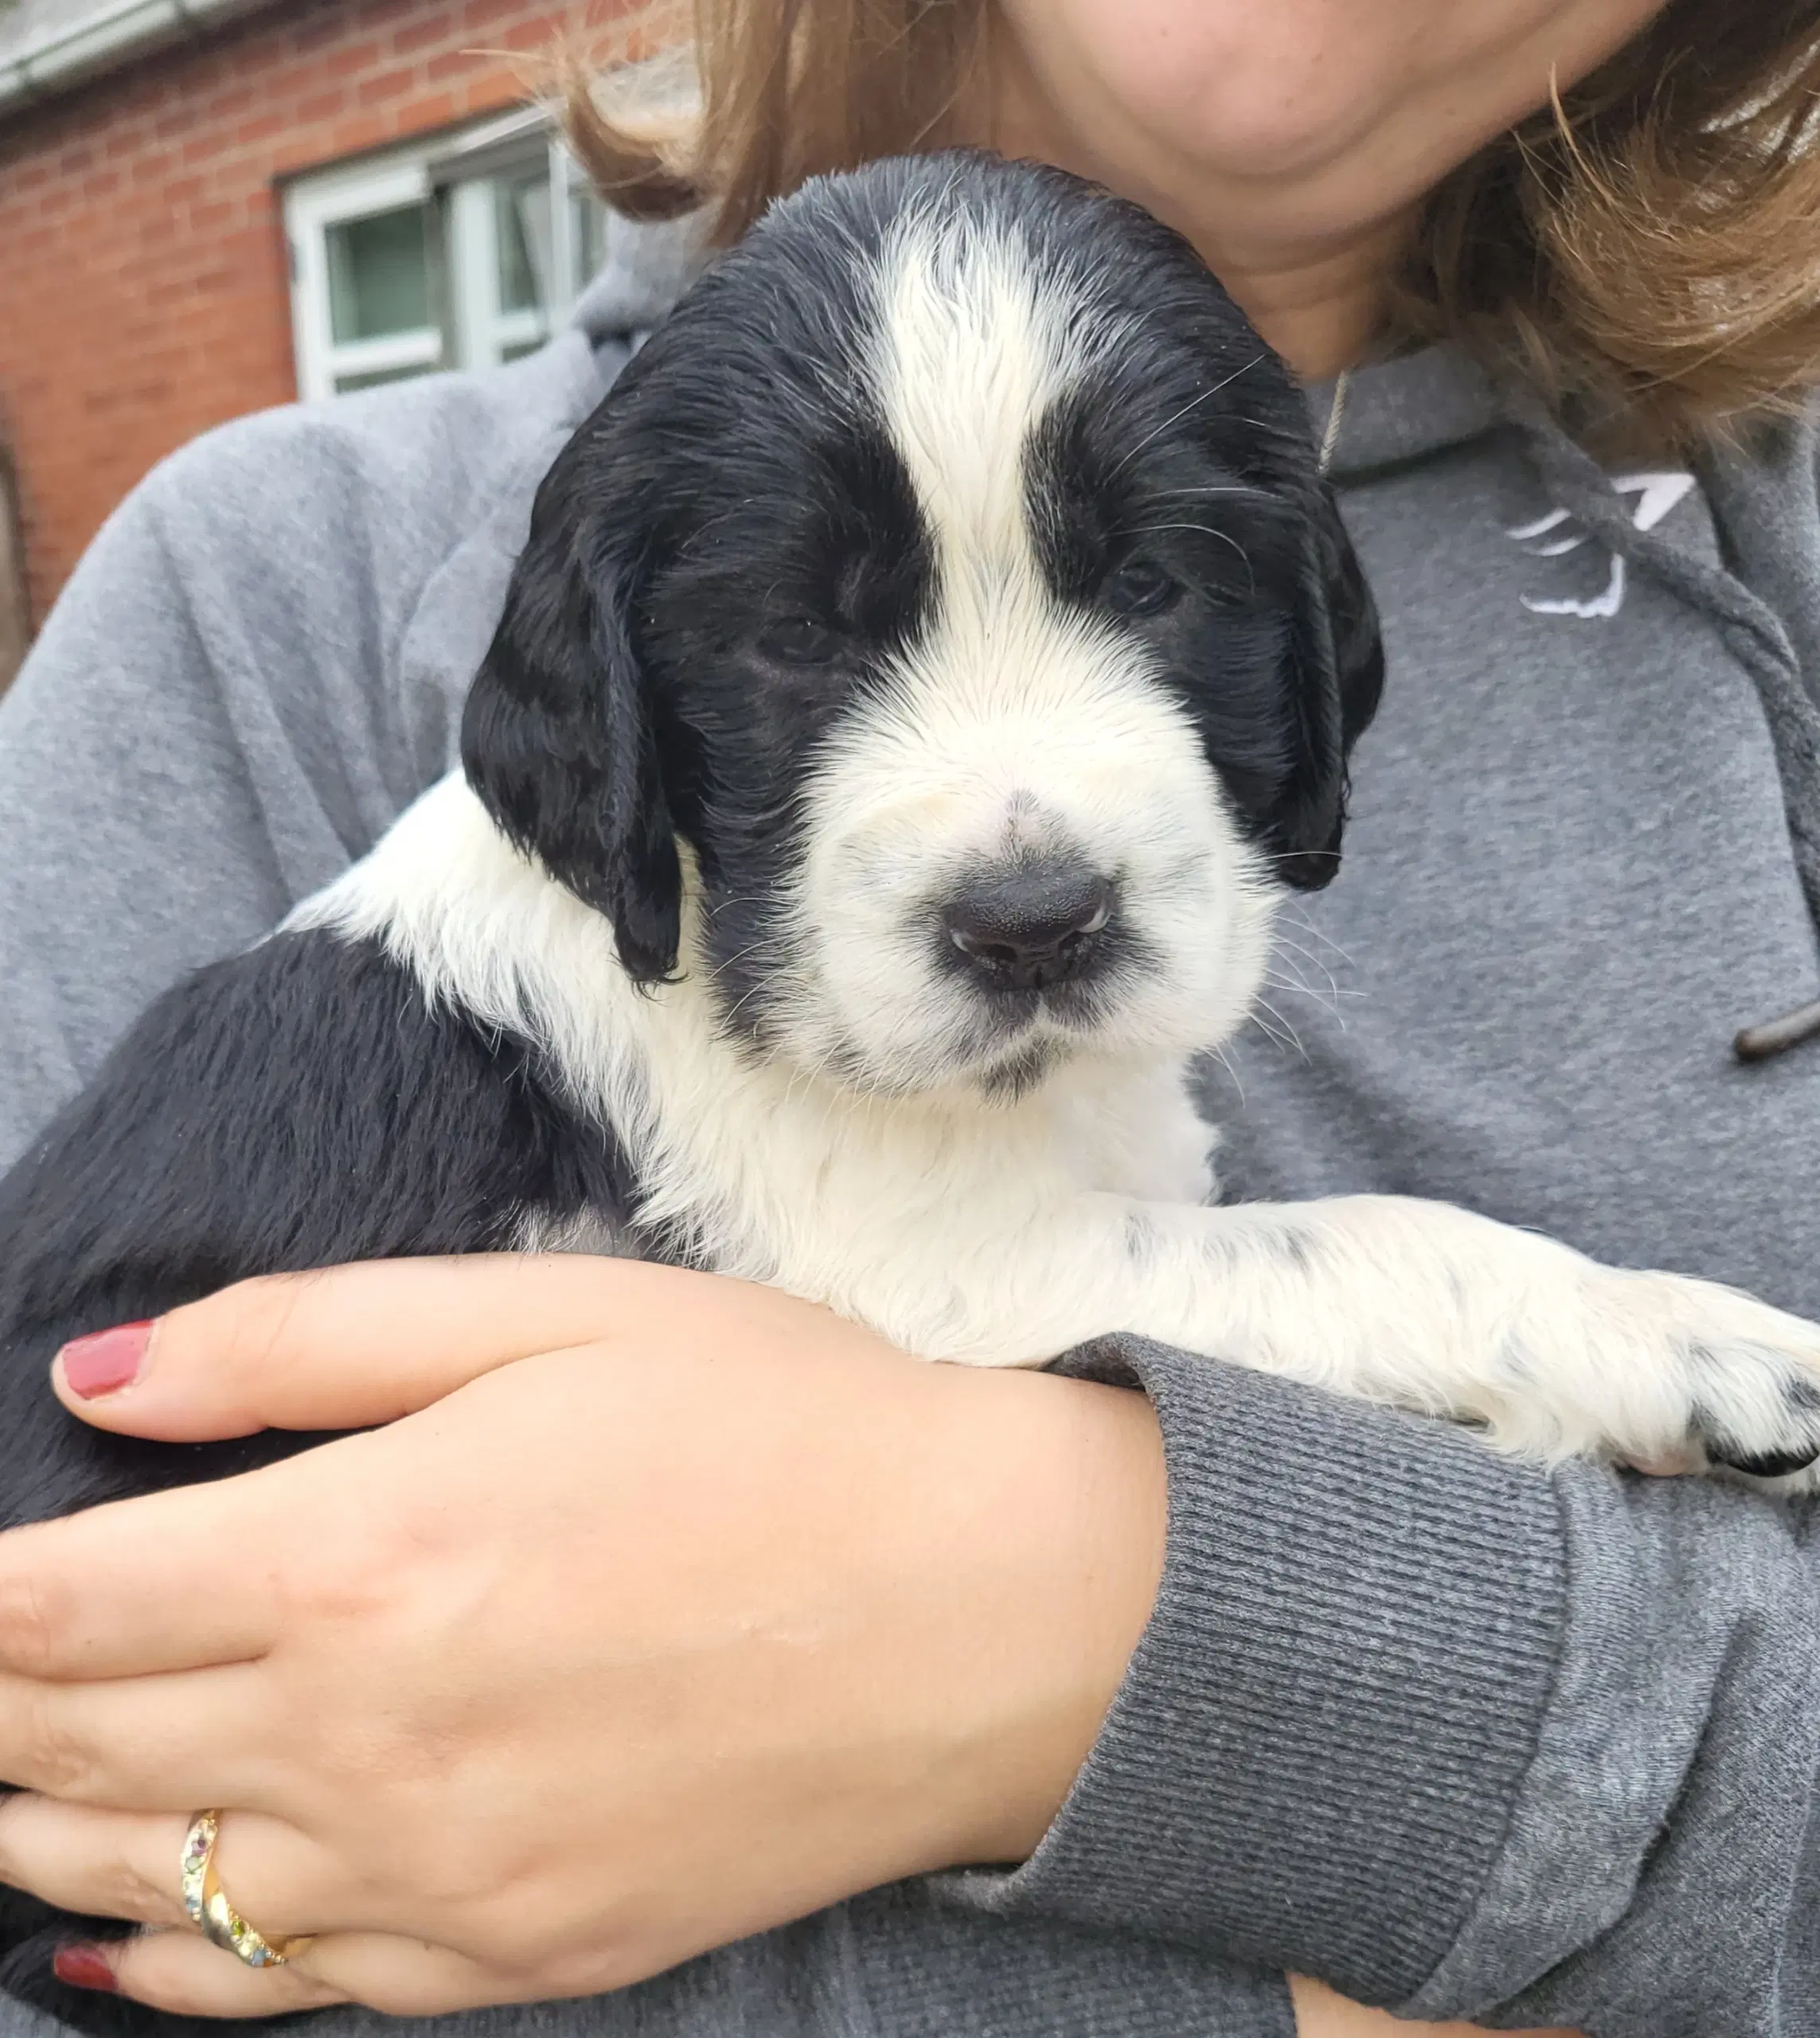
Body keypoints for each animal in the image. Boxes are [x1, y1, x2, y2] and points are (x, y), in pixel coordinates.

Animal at [3, 143, 1818, 2021]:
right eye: (791, 638)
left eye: (1158, 586)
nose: (1034, 924)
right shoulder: (930, 1273)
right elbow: (1374, 1240)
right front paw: (1692, 1342)